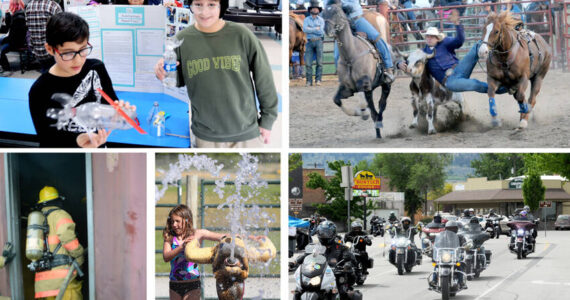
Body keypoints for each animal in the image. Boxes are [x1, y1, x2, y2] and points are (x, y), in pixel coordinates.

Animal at [324, 0, 390, 138]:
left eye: (337, 12)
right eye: (323, 13)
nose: (327, 30)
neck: (350, 56)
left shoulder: (364, 82)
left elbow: (363, 99)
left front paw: (363, 113)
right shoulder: (347, 88)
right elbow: (336, 100)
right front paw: (358, 113)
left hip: (386, 84)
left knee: (382, 104)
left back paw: (378, 122)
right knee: (374, 108)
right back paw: (377, 130)